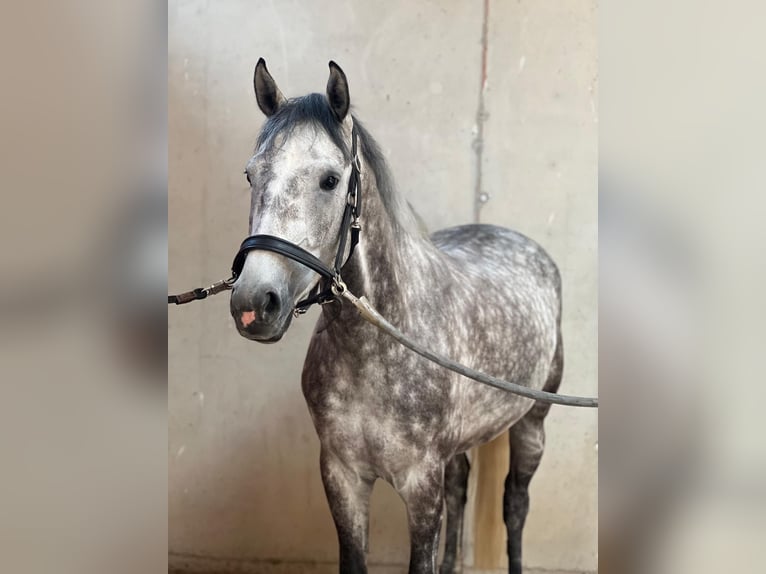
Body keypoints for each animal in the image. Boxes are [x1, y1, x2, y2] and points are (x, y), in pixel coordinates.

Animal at [230, 60, 564, 572]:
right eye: (251, 175)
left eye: (330, 180)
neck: (376, 349)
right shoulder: (342, 476)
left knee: (515, 504)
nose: (253, 304)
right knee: (461, 485)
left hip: (533, 423)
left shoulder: (420, 486)